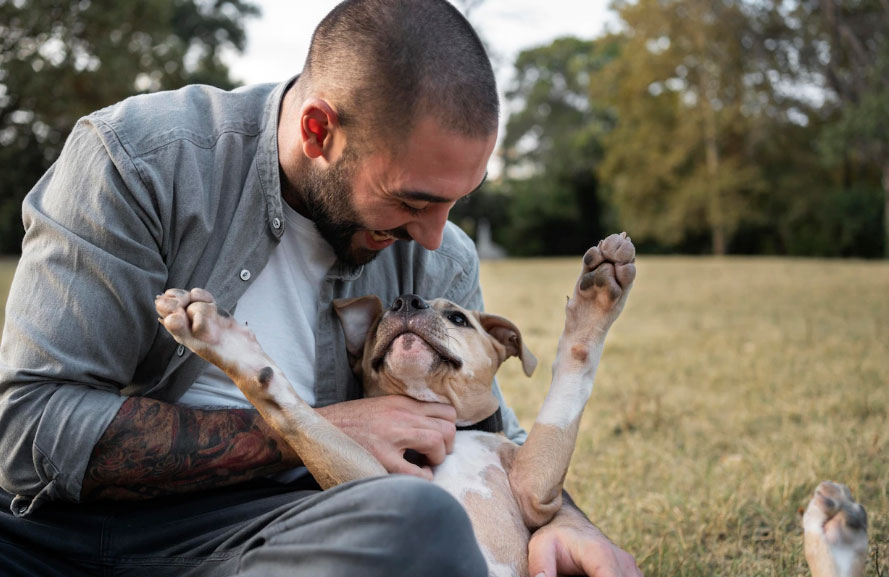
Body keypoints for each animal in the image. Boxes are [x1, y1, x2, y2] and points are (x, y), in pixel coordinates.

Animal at [156, 232, 636, 572]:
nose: (405, 300)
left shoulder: (534, 491)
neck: (456, 432)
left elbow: (571, 374)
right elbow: (294, 413)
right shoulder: (366, 476)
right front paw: (220, 338)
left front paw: (597, 295)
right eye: (385, 313)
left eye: (458, 317)